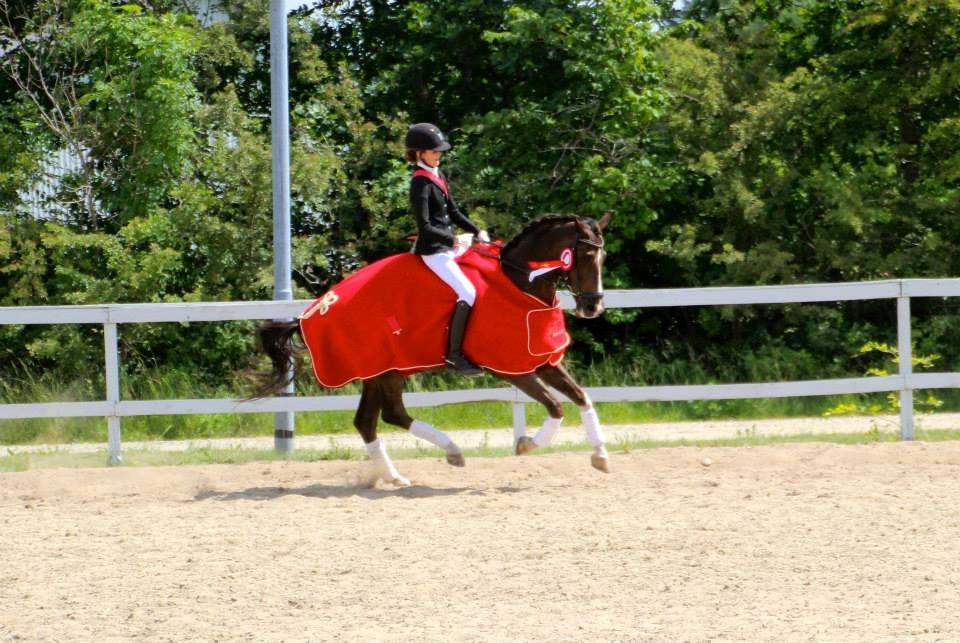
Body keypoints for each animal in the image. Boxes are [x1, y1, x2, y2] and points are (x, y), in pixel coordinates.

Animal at [255, 213, 612, 488]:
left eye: (603, 258)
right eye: (584, 256)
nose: (593, 307)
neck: (519, 281)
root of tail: (315, 310)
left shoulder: (542, 360)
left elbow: (581, 397)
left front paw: (600, 456)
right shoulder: (513, 369)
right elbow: (556, 406)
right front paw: (526, 445)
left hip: (378, 371)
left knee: (369, 421)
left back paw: (397, 475)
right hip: (387, 370)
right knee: (390, 415)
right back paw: (450, 451)